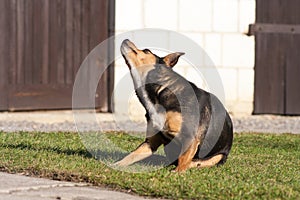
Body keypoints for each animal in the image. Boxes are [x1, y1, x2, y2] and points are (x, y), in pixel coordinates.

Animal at [116, 39, 233, 172]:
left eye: (146, 51)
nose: (126, 39)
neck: (159, 91)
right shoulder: (150, 142)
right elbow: (131, 156)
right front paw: (115, 165)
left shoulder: (190, 138)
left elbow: (183, 159)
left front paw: (177, 173)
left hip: (216, 157)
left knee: (194, 163)